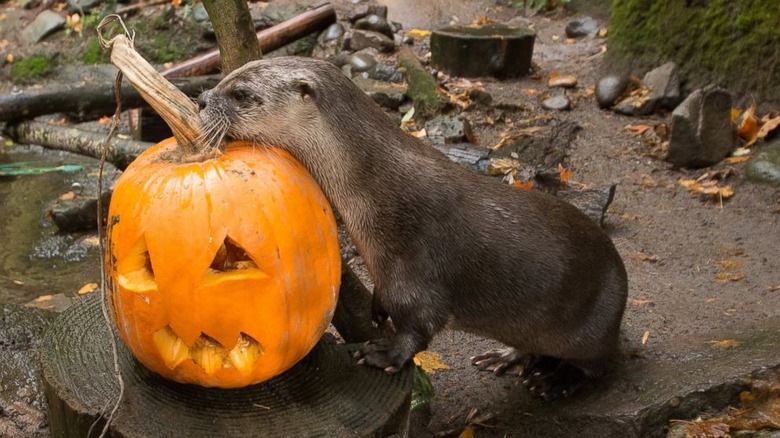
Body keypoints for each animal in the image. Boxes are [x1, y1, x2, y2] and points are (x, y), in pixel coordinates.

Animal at [198, 55, 632, 400]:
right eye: (226, 77)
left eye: (241, 94)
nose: (202, 99)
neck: (379, 188)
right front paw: (376, 307)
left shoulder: (420, 258)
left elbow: (421, 322)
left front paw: (384, 352)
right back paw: (506, 357)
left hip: (593, 329)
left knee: (599, 366)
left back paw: (555, 381)